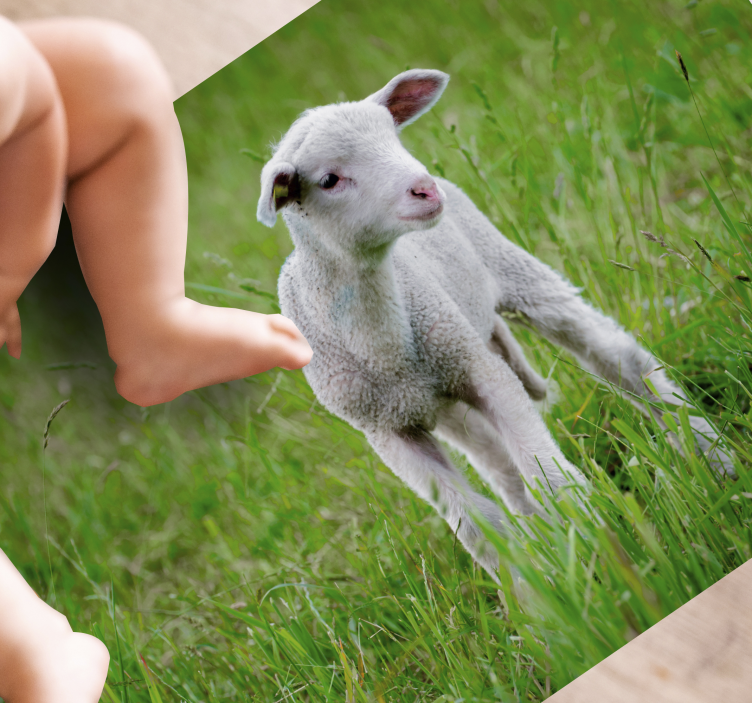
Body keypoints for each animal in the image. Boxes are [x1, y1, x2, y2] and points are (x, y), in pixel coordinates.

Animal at [256, 69, 734, 578]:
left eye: (392, 137)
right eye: (329, 179)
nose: (425, 188)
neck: (383, 348)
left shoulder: (481, 371)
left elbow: (547, 476)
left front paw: (606, 546)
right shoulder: (386, 431)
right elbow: (475, 524)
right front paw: (531, 588)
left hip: (509, 272)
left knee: (617, 357)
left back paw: (713, 455)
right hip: (449, 399)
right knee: (502, 473)